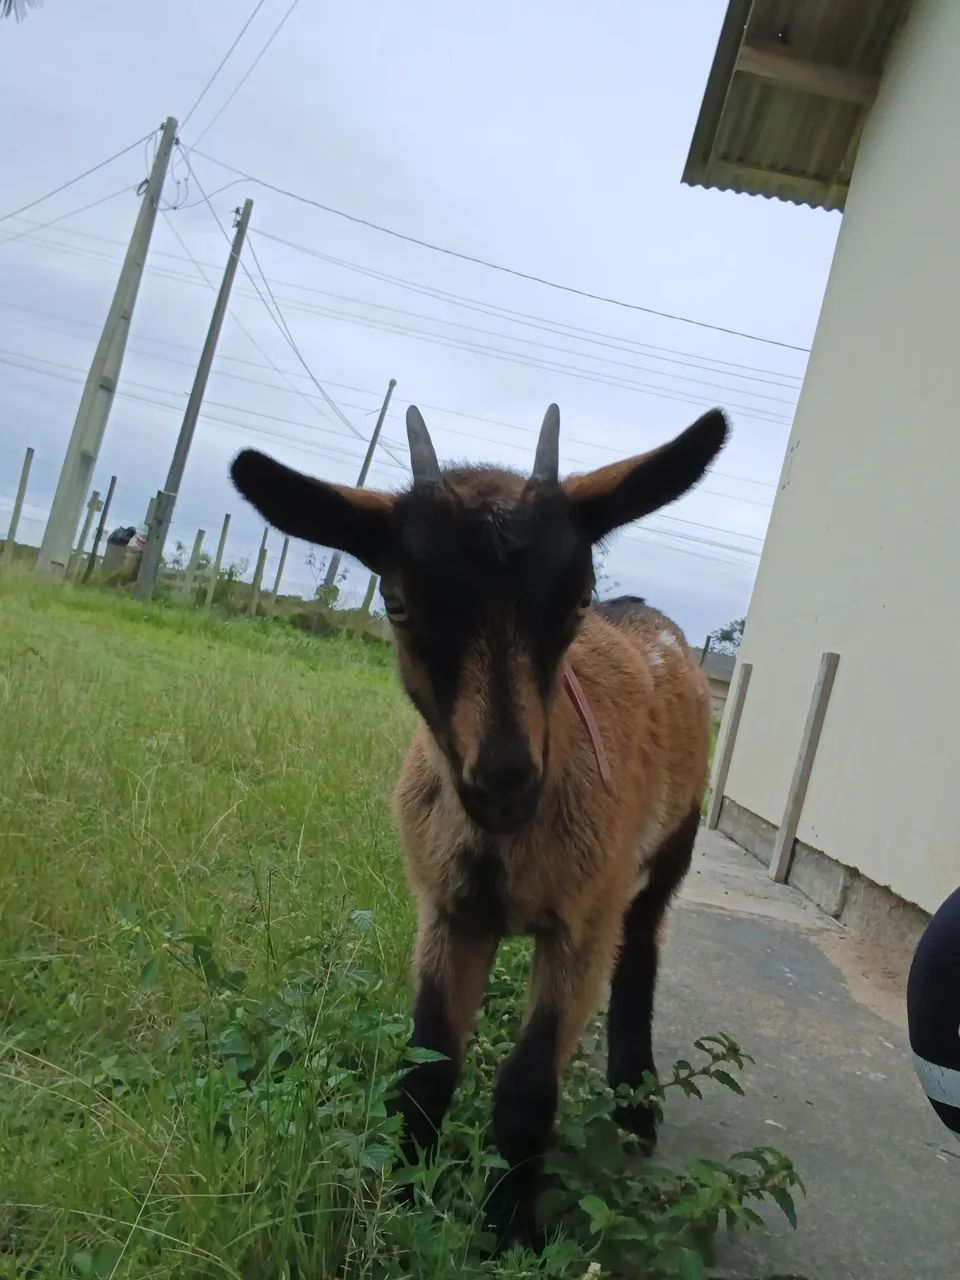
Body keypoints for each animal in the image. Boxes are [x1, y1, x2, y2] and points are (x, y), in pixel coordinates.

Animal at [229, 402, 727, 1246]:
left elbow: (527, 1088)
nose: (504, 780)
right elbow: (425, 1066)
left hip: (668, 848)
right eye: (398, 601)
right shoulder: (448, 909)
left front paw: (508, 1233)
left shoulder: (582, 922)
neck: (504, 841)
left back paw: (635, 1112)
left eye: (577, 598)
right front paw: (398, 1201)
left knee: (641, 955)